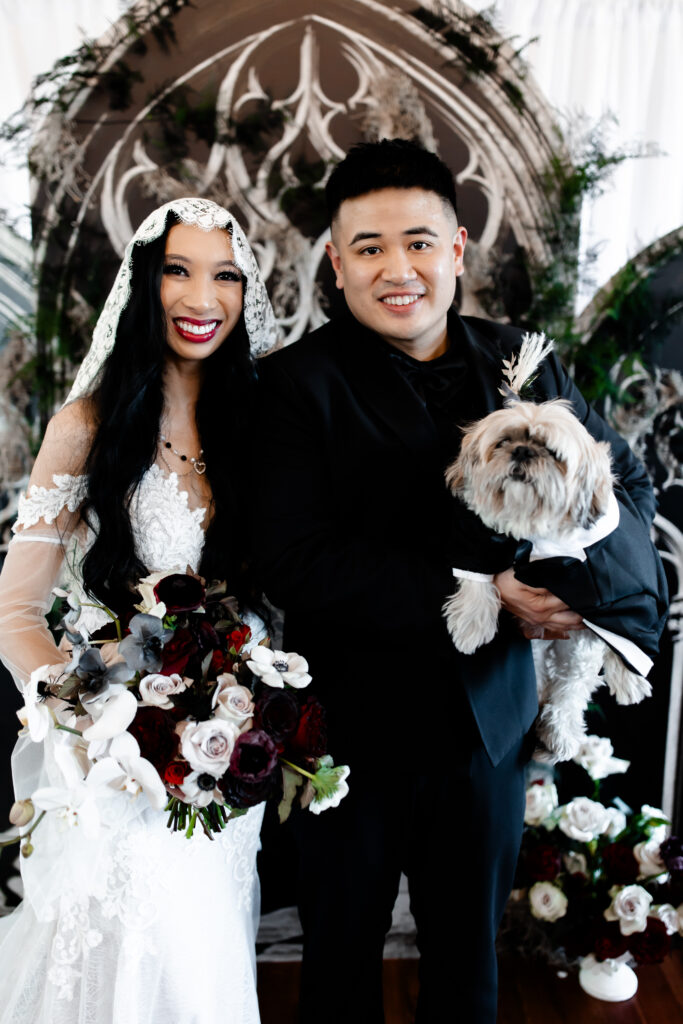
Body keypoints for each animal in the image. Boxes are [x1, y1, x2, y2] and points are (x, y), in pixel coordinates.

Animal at [444, 335, 651, 761]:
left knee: (575, 687)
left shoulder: (613, 592)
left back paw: (564, 730)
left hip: (585, 643)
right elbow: (475, 580)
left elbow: (623, 640)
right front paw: (471, 624)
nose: (523, 452)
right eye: (505, 441)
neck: (532, 530)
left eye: (552, 453)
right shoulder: (474, 535)